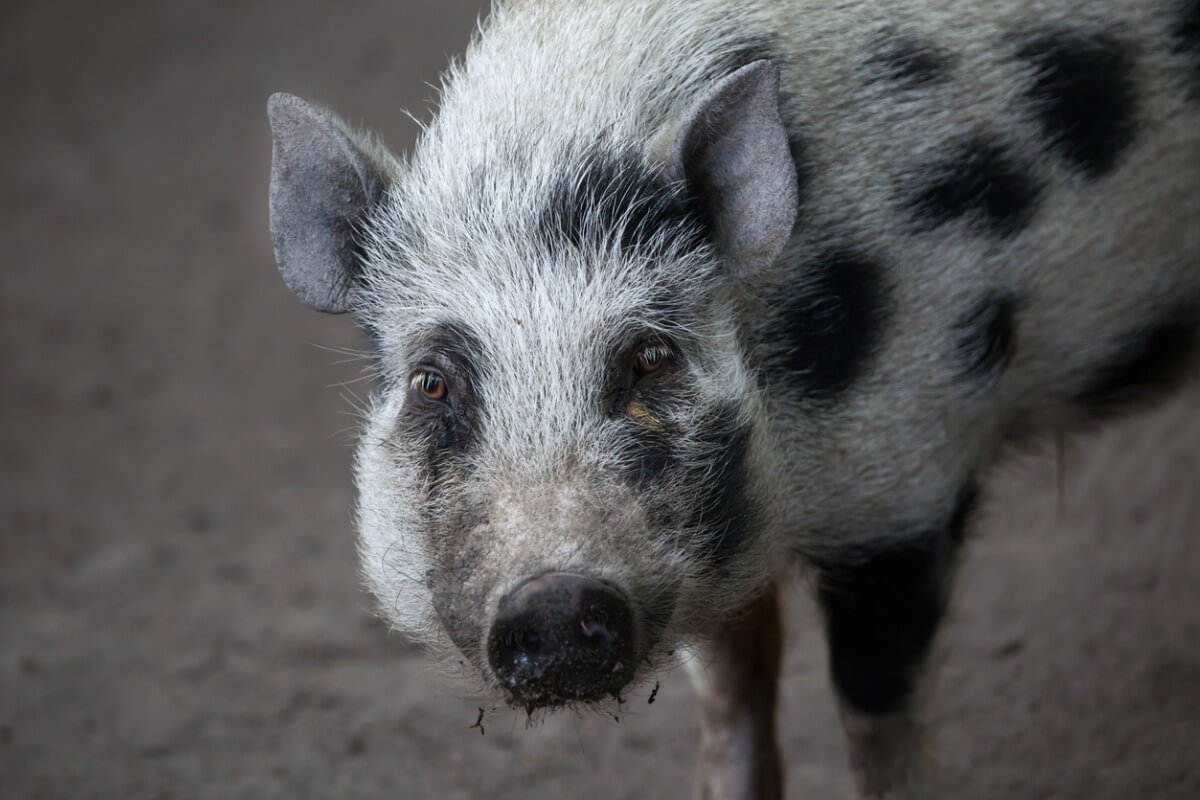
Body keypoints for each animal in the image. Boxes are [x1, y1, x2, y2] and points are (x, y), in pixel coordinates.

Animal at [266, 0, 1200, 797]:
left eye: (650, 356)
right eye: (433, 382)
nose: (554, 599)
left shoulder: (908, 478)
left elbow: (875, 713)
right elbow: (733, 697)